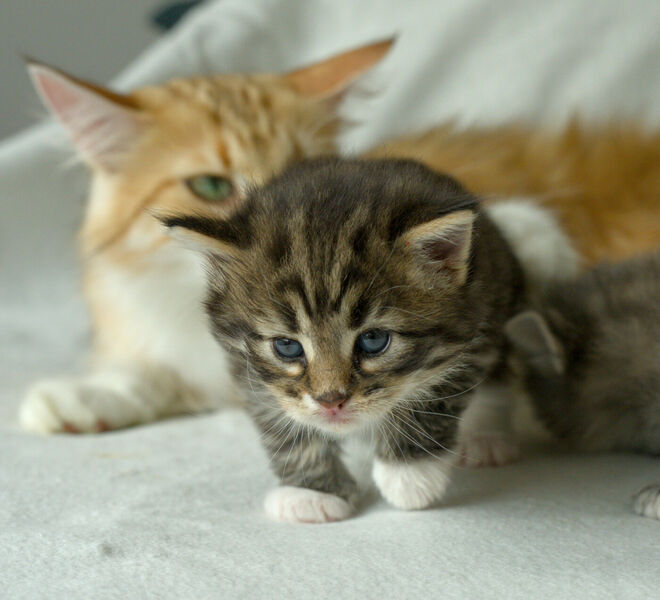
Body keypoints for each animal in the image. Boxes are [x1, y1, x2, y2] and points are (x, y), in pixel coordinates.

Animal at [166, 157, 524, 524]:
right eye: (287, 347)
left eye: (374, 340)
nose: (330, 401)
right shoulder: (246, 369)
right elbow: (279, 422)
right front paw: (312, 492)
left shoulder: (472, 325)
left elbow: (437, 390)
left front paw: (409, 474)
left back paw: (486, 437)